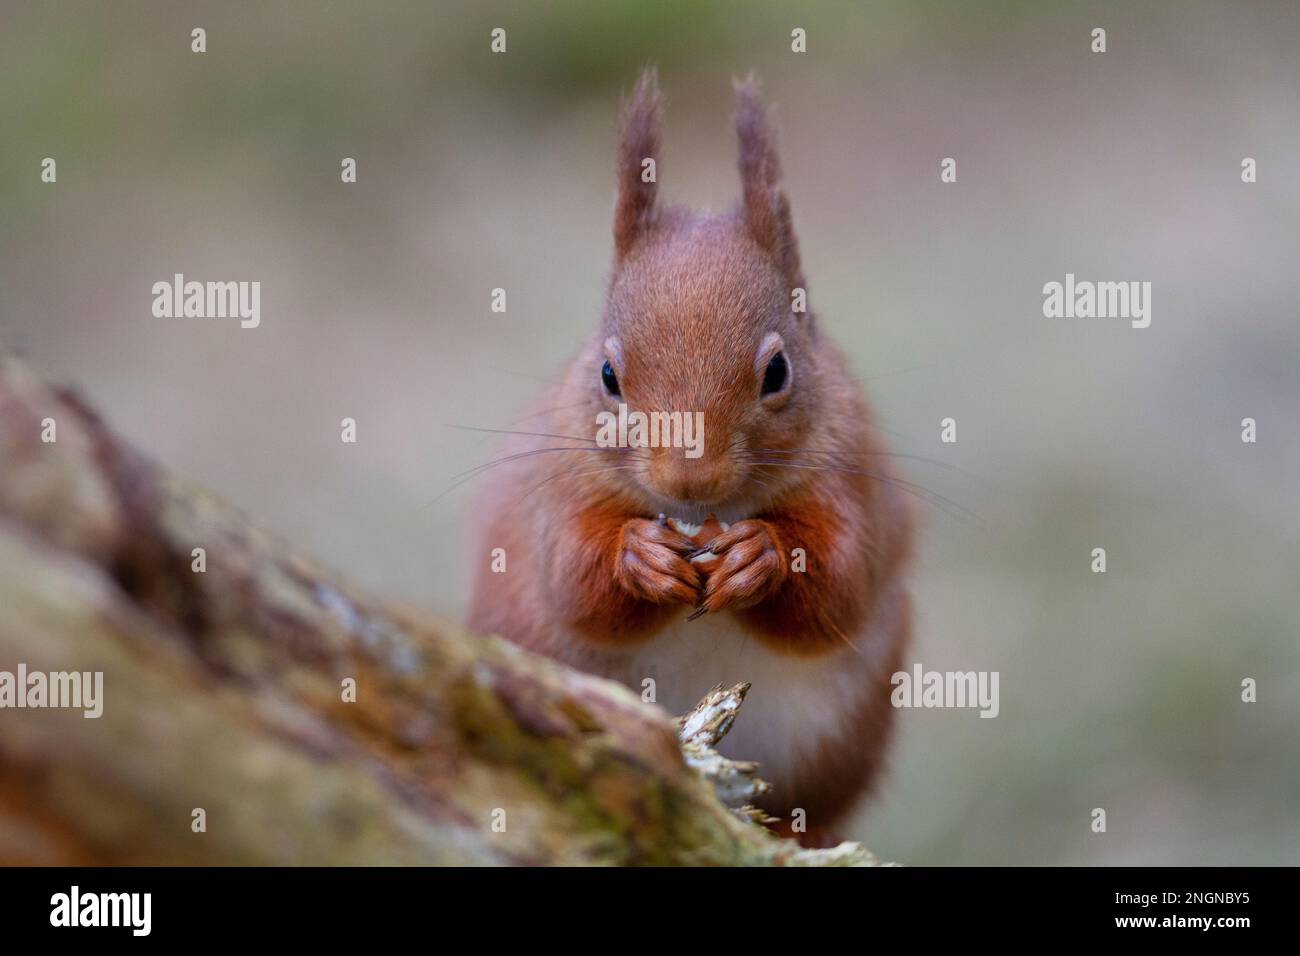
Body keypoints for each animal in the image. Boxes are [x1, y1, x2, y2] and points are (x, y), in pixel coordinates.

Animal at [467, 69, 915, 842]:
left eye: (779, 372)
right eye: (607, 375)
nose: (689, 476)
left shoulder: (853, 476)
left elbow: (842, 583)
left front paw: (761, 555)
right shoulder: (560, 489)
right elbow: (573, 581)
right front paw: (638, 557)